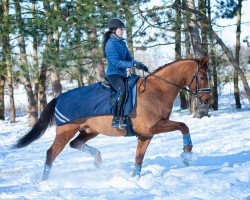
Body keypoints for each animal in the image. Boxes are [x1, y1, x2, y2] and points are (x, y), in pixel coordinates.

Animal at [14, 57, 211, 180]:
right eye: (202, 77)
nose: (208, 99)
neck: (157, 91)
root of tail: (59, 98)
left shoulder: (146, 134)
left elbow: (139, 157)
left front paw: (135, 178)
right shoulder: (151, 127)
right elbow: (183, 125)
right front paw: (186, 154)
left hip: (90, 131)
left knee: (76, 143)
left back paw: (97, 159)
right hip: (66, 131)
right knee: (52, 153)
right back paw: (45, 181)